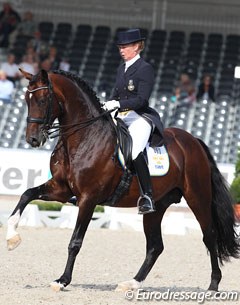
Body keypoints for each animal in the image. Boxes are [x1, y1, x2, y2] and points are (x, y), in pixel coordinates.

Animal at [6, 69, 240, 292]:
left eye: (42, 100)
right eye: (26, 99)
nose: (33, 139)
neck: (84, 137)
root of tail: (194, 141)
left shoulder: (88, 199)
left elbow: (75, 241)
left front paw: (62, 280)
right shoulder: (61, 189)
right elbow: (26, 194)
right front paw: (12, 237)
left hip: (197, 198)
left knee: (209, 236)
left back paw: (213, 284)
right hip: (157, 206)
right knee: (155, 246)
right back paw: (131, 283)